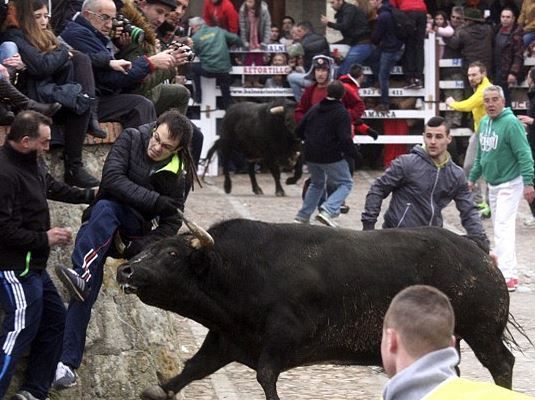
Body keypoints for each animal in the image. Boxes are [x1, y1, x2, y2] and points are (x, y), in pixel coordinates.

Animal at [116, 219, 516, 400]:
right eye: (148, 248)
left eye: (171, 253)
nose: (125, 270)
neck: (237, 270)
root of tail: (478, 253)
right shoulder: (224, 341)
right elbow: (190, 370)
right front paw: (158, 390)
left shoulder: (281, 337)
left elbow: (265, 377)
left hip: (483, 331)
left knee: (501, 363)